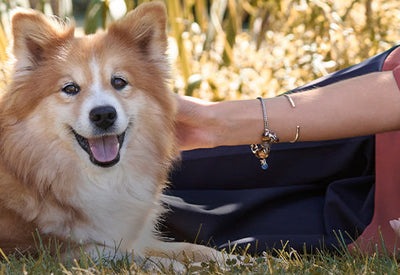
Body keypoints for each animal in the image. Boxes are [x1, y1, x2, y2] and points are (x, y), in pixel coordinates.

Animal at [0, 1, 222, 268]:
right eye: (70, 88)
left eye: (118, 82)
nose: (104, 114)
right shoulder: (28, 250)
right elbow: (109, 251)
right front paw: (169, 266)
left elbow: (176, 246)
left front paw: (221, 257)